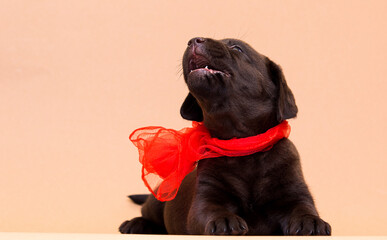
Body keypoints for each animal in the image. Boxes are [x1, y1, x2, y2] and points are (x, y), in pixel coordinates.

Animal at [119, 37, 332, 236]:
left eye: (237, 48)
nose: (193, 40)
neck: (244, 145)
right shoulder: (206, 198)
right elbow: (211, 210)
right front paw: (225, 220)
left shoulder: (295, 192)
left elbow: (303, 207)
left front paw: (311, 221)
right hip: (159, 198)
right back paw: (135, 223)